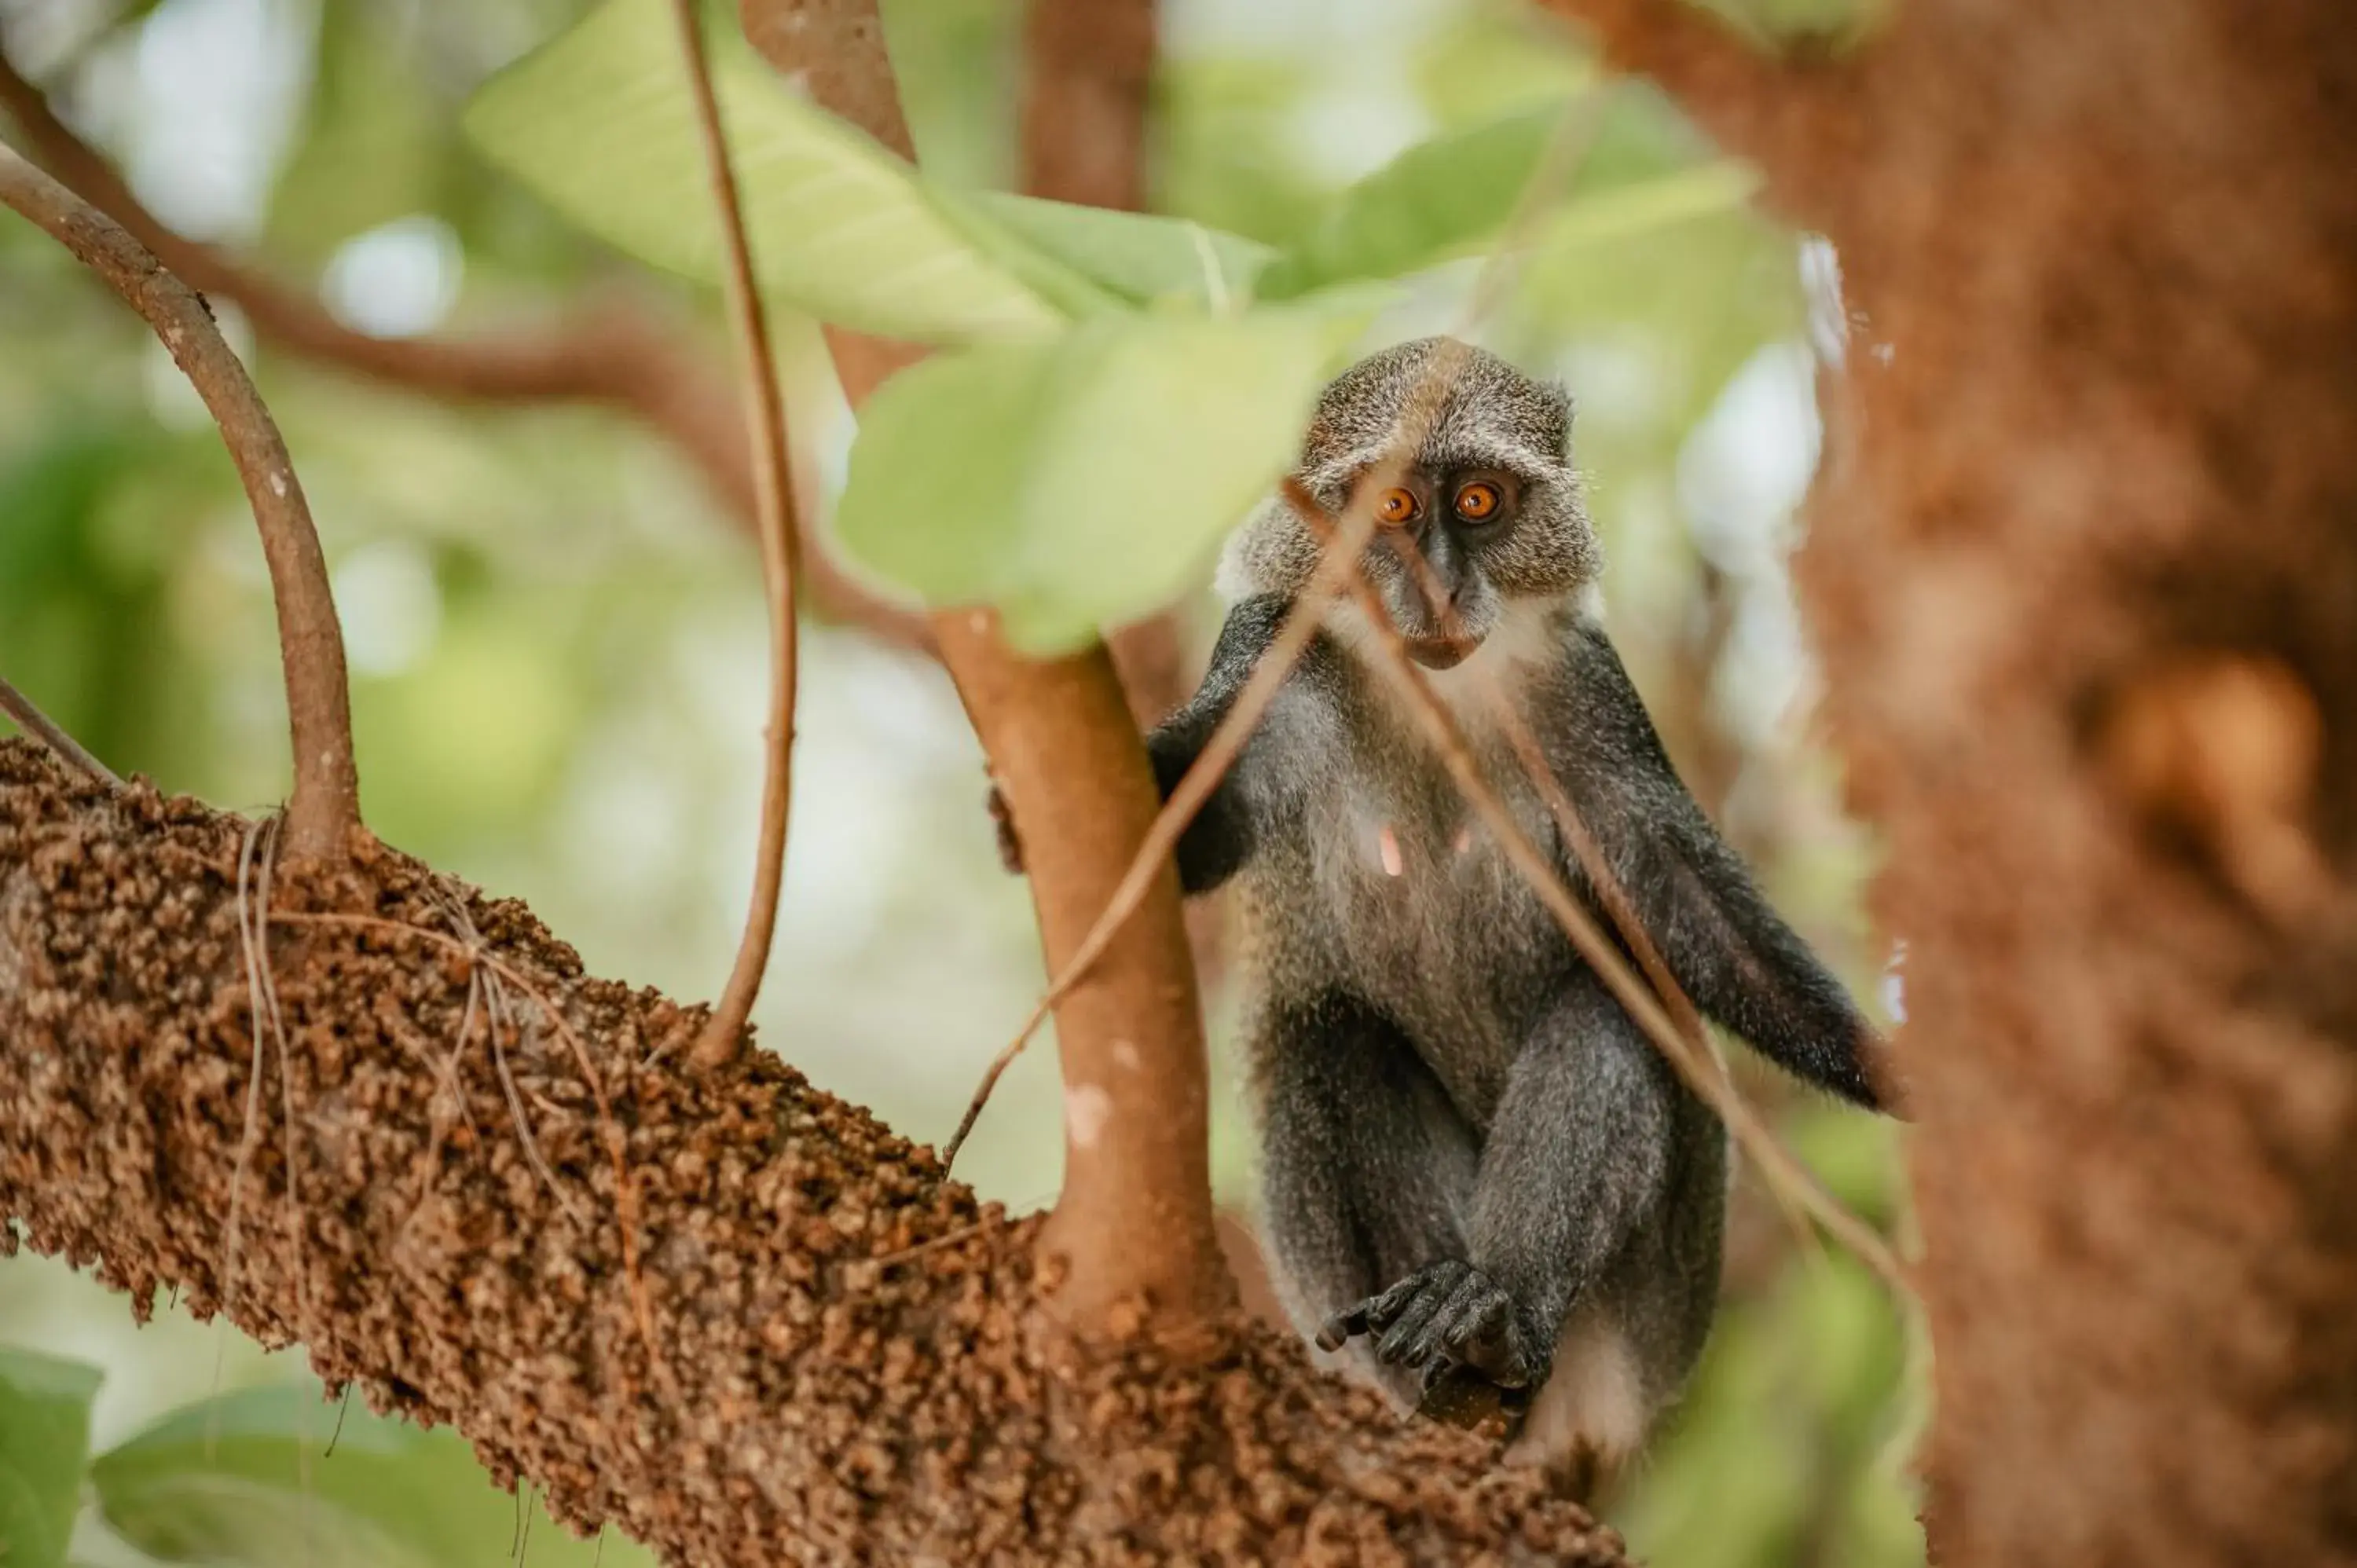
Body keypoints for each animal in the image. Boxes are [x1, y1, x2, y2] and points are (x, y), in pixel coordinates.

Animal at [1122, 332, 1895, 1489]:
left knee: (1616, 1010)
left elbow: (1681, 899)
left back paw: (1497, 1314)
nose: (1440, 585)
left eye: (1480, 501)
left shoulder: (1589, 694)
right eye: (1394, 507)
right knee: (1324, 1036)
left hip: (1652, 1316)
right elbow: (1206, 817)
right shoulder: (1271, 649)